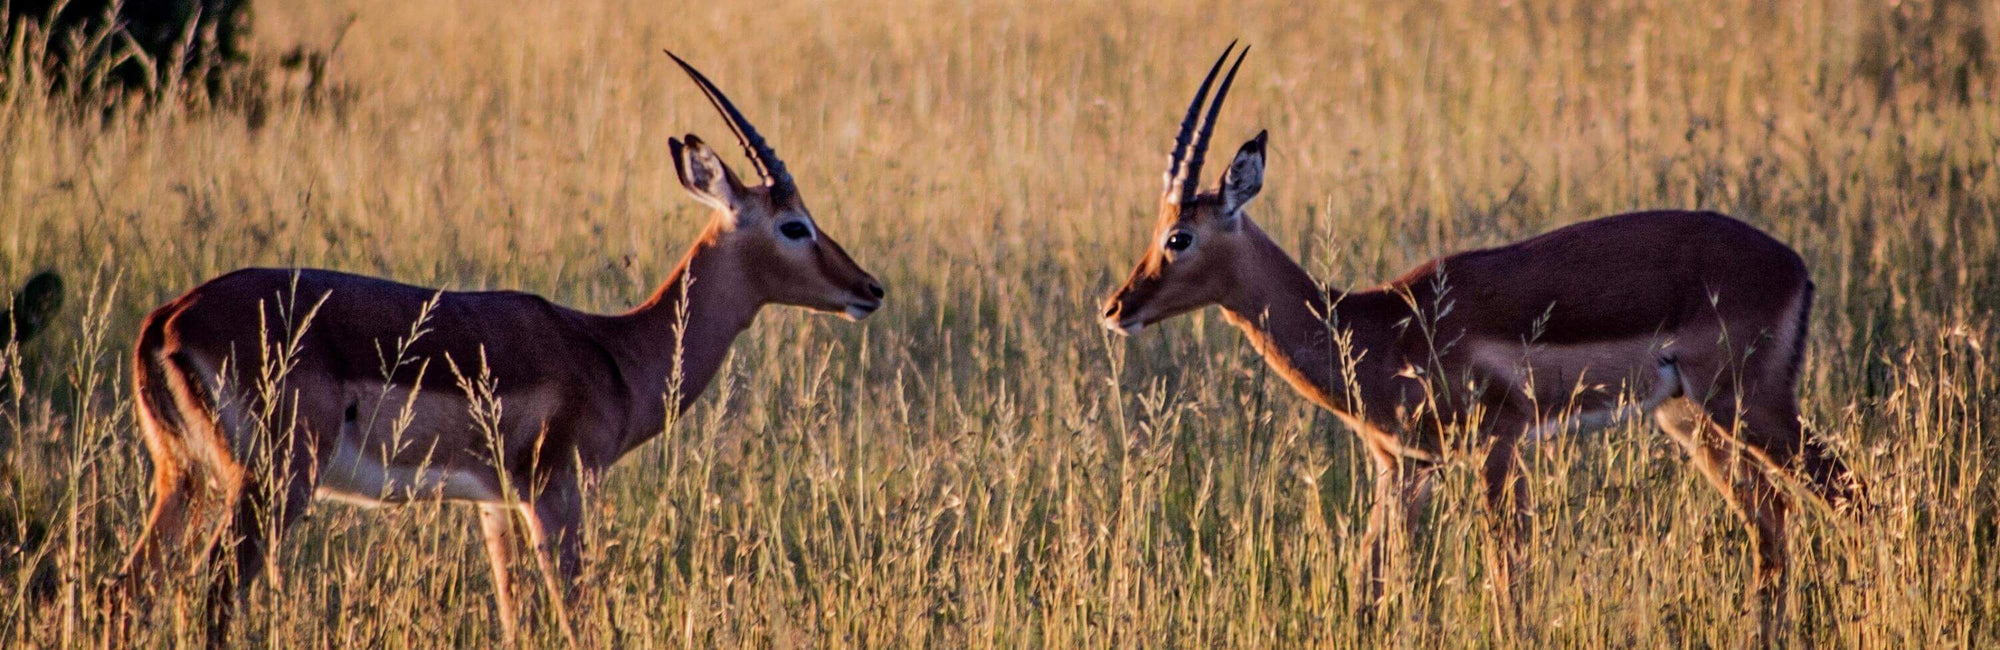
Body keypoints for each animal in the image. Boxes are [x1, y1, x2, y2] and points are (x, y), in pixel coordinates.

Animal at [107, 51, 885, 644]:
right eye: (793, 225)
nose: (869, 287)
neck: (614, 353)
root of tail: (168, 318)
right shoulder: (557, 494)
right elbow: (576, 619)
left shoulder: (495, 506)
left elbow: (518, 622)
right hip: (271, 483)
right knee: (209, 596)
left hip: (186, 479)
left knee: (129, 590)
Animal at [1099, 44, 1863, 638]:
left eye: (1179, 236)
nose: (1115, 306)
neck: (1377, 326)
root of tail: (1794, 265)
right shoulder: (1403, 467)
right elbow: (1368, 588)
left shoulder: (1498, 443)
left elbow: (1508, 585)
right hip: (1689, 418)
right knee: (1773, 517)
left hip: (1750, 406)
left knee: (1848, 495)